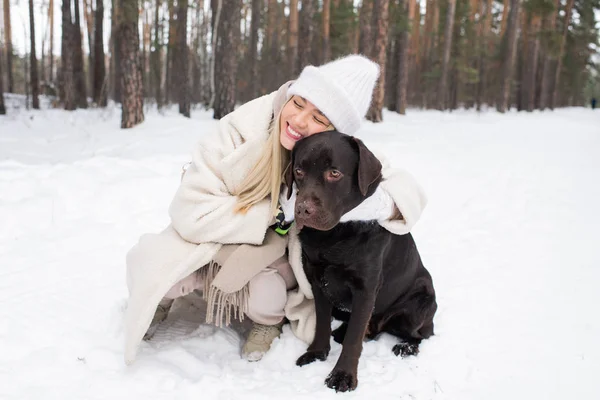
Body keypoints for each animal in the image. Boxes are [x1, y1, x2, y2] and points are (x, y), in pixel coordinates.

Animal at [286, 130, 436, 390]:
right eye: (299, 171)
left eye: (334, 173)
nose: (303, 209)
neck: (333, 238)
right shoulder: (317, 280)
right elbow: (322, 323)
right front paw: (316, 353)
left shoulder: (366, 288)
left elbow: (354, 338)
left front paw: (343, 375)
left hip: (419, 303)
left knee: (420, 335)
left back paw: (405, 347)